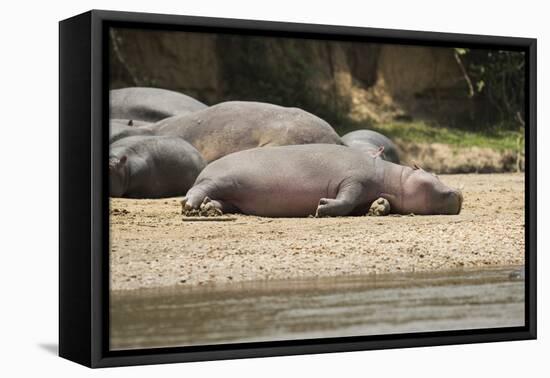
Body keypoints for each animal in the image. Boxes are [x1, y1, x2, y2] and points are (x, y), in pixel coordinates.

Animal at [183, 144, 464, 217]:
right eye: (434, 174)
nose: (460, 193)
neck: (394, 177)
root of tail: (204, 168)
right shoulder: (353, 180)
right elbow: (346, 199)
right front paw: (321, 207)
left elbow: (375, 203)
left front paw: (379, 207)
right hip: (221, 180)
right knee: (199, 189)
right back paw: (189, 207)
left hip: (233, 196)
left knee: (217, 200)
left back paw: (209, 210)